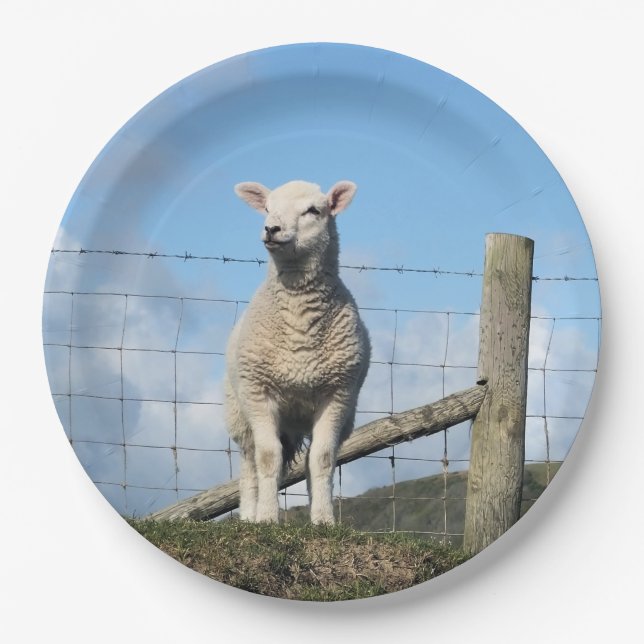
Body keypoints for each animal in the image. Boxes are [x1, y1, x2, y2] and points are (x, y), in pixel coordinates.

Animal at [224, 179, 371, 525]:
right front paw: (266, 518)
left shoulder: (337, 394)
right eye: (267, 208)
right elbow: (267, 458)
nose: (271, 228)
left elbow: (322, 459)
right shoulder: (258, 391)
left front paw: (324, 520)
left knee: (308, 460)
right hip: (240, 412)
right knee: (249, 462)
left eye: (313, 210)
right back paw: (249, 515)